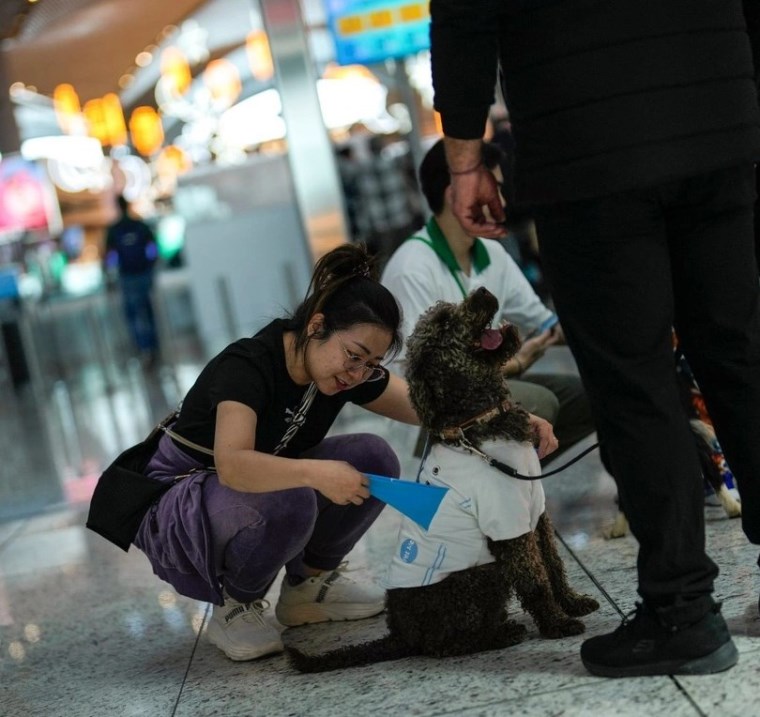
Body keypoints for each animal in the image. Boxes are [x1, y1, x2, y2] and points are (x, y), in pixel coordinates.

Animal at [286, 286, 600, 672]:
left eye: (448, 309)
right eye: (445, 323)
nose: (482, 291)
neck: (480, 418)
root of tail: (399, 634)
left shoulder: (536, 512)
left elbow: (554, 565)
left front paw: (572, 603)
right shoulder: (508, 526)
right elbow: (535, 580)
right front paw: (557, 624)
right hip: (480, 575)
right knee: (443, 645)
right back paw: (501, 634)